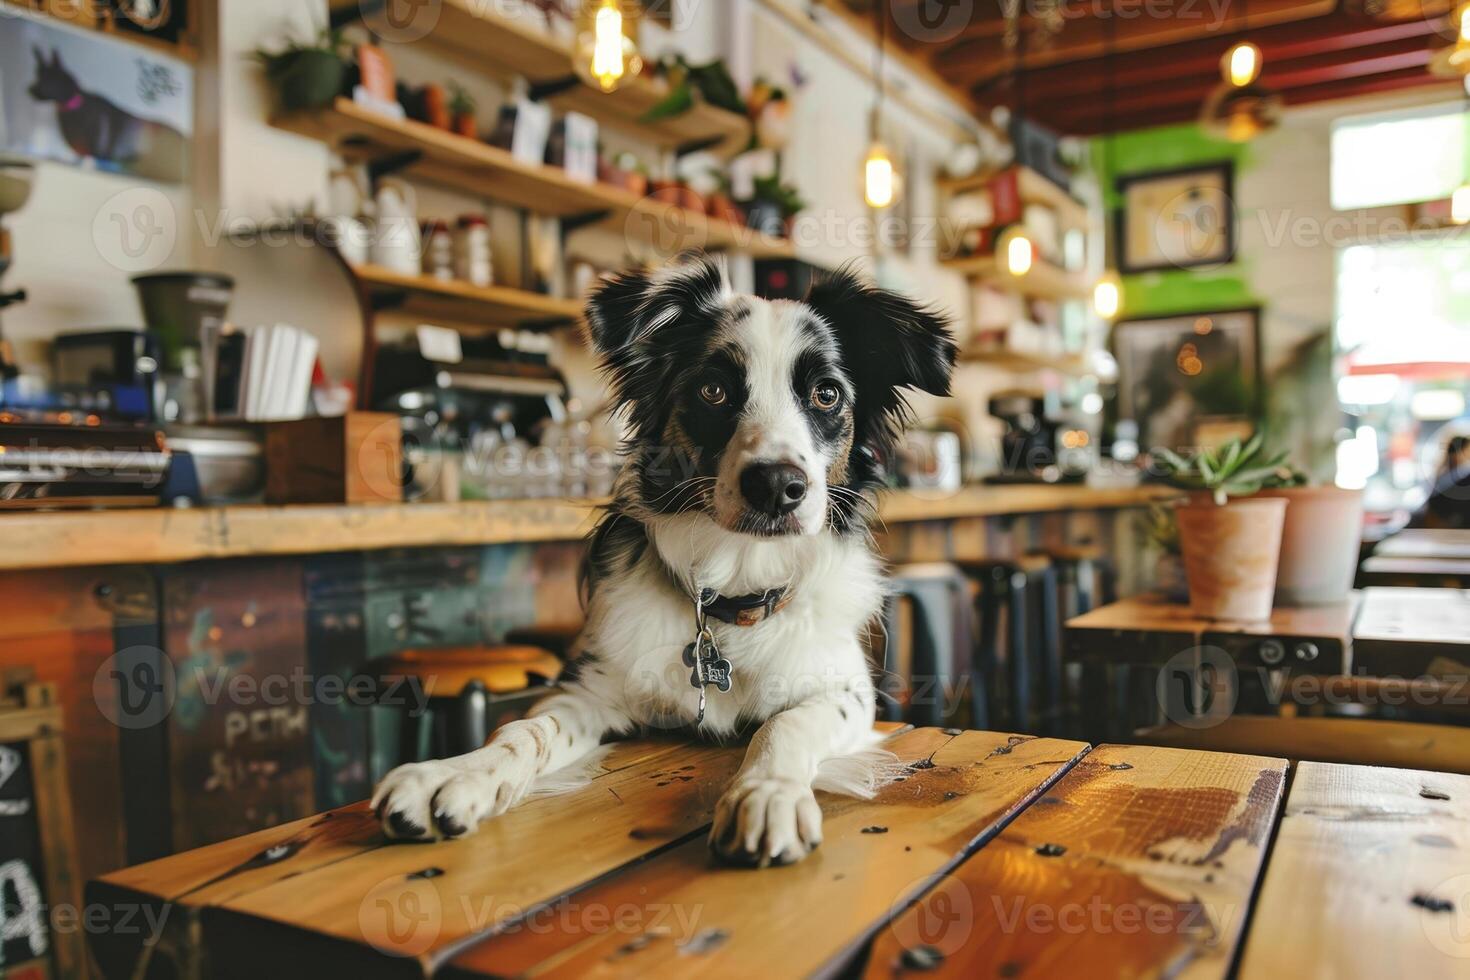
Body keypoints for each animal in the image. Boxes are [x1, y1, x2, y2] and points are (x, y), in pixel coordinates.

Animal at [373, 258, 958, 863]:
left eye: (825, 394)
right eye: (713, 390)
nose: (777, 486)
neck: (735, 590)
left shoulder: (846, 694)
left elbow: (784, 725)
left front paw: (767, 793)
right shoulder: (590, 690)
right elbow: (522, 732)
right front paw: (454, 774)